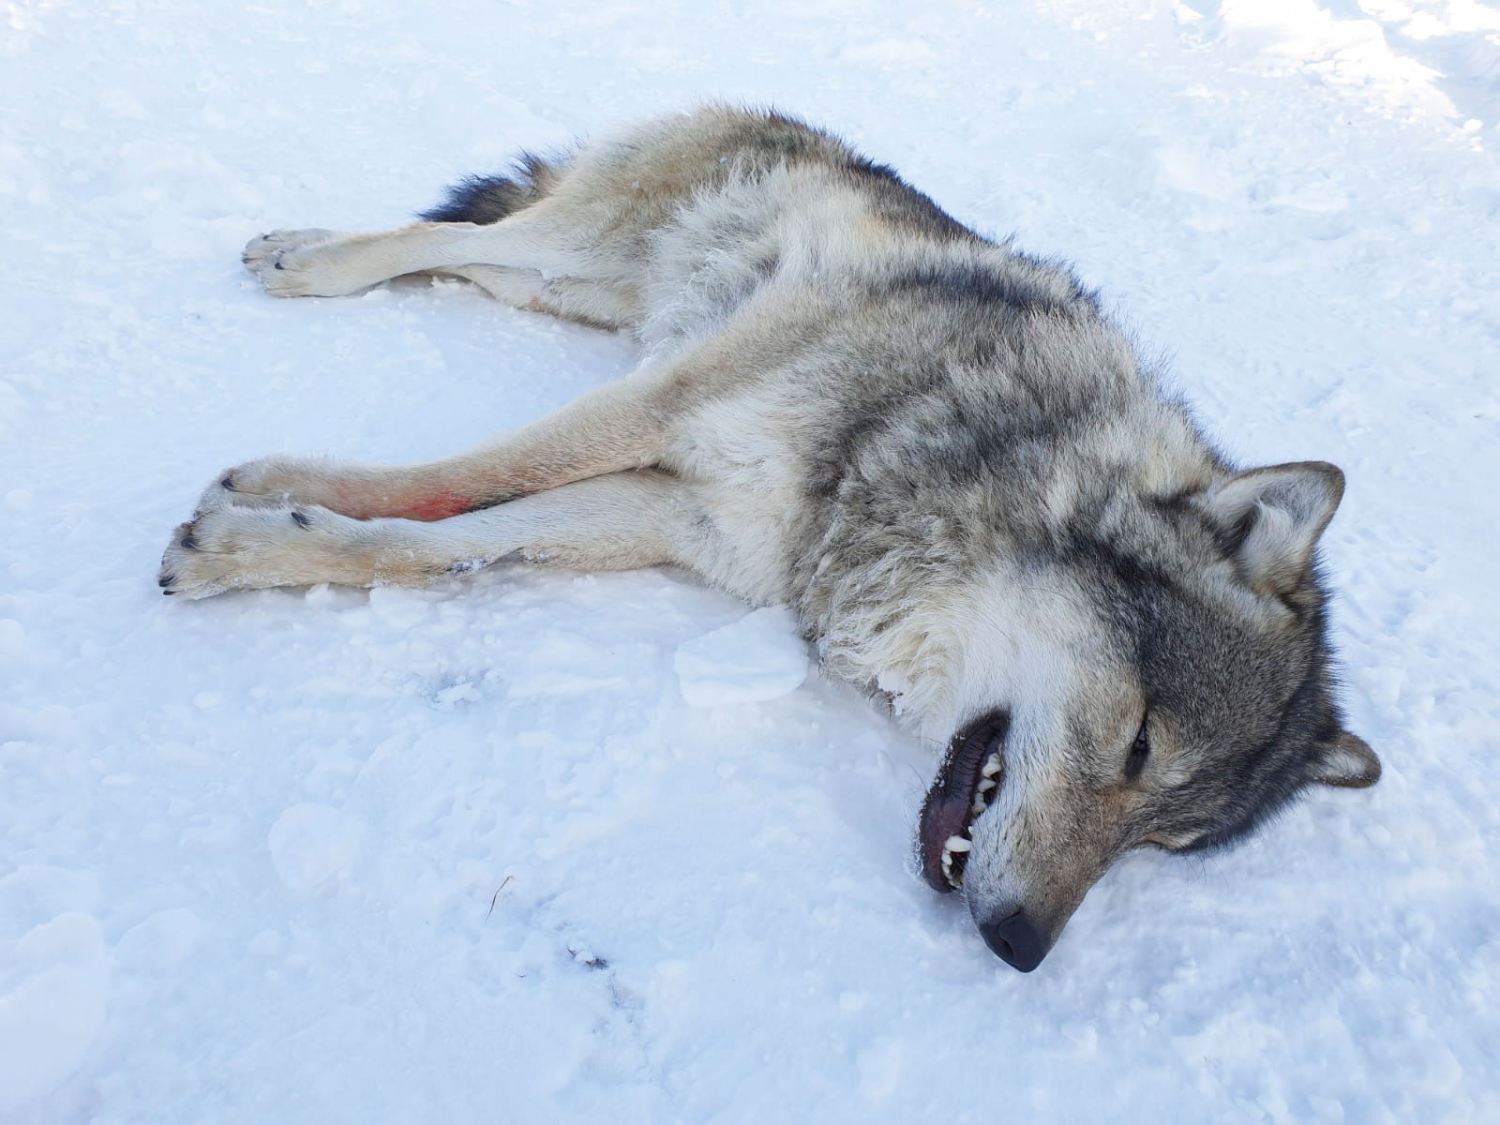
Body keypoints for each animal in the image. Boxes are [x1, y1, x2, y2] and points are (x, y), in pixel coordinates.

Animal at [158, 103, 1374, 972]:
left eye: (1156, 844)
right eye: (1138, 746)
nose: (1020, 949)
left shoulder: (674, 512)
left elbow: (453, 542)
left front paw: (265, 536)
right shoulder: (669, 402)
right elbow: (469, 476)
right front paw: (266, 498)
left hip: (576, 291)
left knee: (465, 250)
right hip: (590, 252)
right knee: (441, 230)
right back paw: (301, 256)